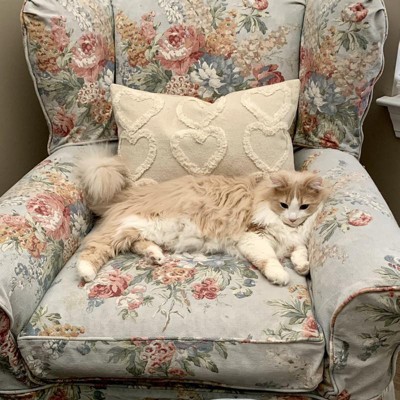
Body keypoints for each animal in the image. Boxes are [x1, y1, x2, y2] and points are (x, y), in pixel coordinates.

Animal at [76, 147, 329, 286]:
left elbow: (300, 250)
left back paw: (155, 256)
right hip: (123, 227)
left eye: (304, 206)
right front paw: (280, 275)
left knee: (137, 243)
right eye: (284, 204)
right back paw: (86, 272)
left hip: (136, 230)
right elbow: (269, 259)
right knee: (94, 248)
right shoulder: (253, 236)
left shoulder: (295, 239)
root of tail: (126, 192)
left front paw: (302, 266)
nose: (293, 218)